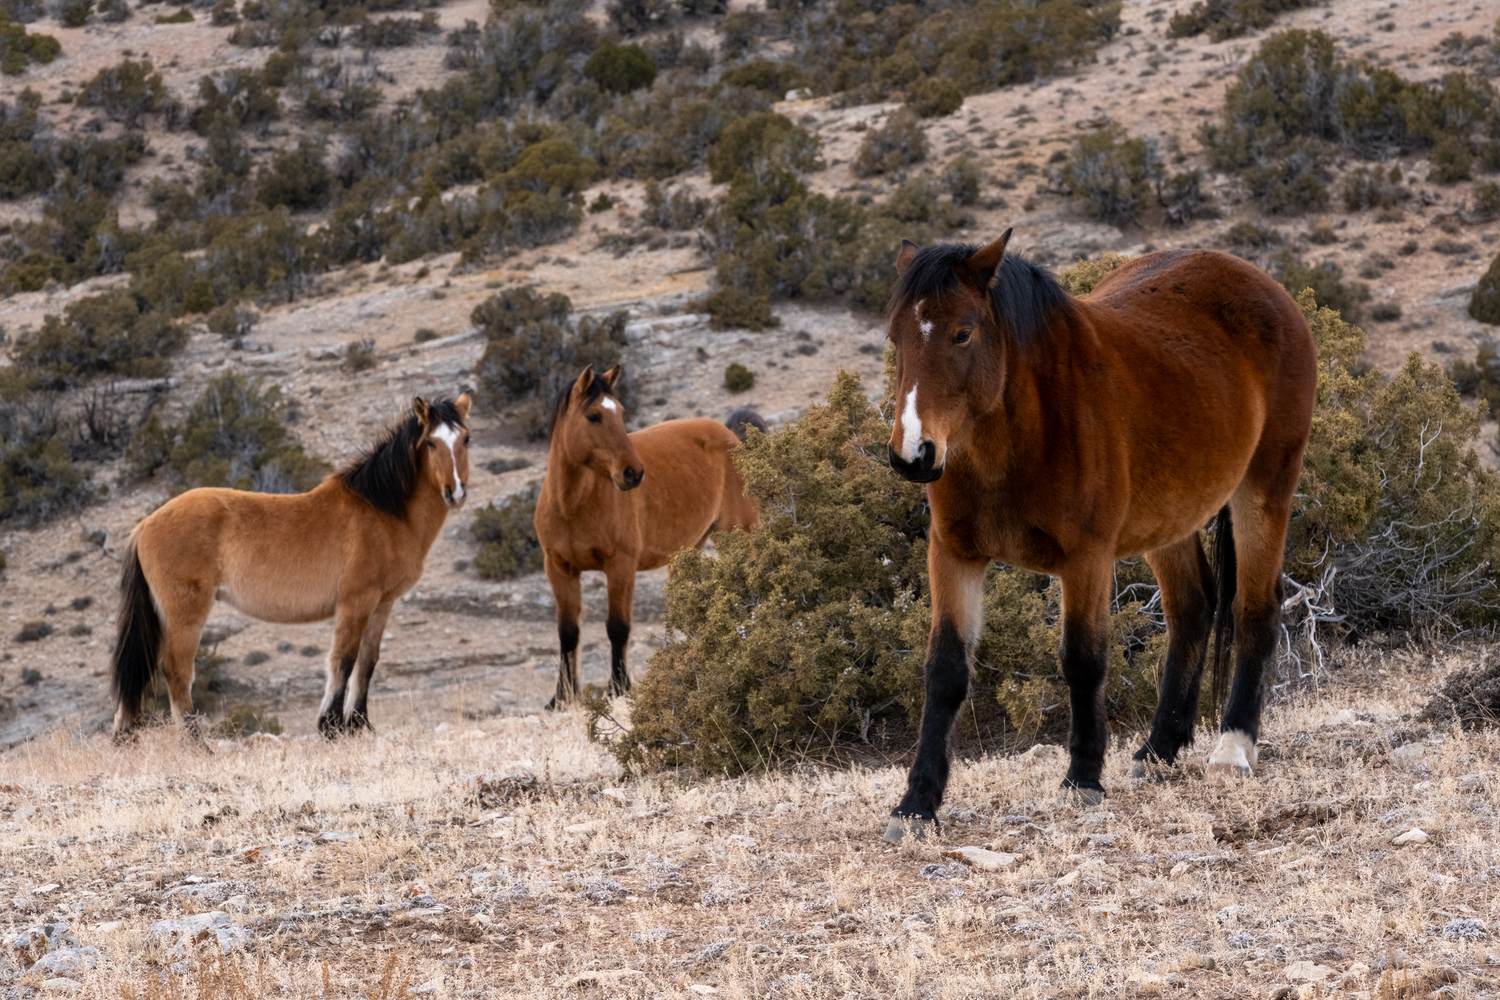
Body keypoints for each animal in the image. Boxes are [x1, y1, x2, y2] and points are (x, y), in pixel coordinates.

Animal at [111, 391, 473, 741]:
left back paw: (125, 738)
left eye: (466, 439)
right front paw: (332, 727)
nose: (455, 492)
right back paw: (197, 745)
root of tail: (145, 526)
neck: (383, 511)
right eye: (431, 443)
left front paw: (359, 726)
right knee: (176, 671)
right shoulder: (356, 601)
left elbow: (367, 662)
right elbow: (343, 660)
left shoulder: (382, 604)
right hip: (185, 614)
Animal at [534, 364, 759, 708]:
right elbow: (568, 632)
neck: (573, 506)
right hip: (690, 549)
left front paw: (619, 688)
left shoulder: (621, 565)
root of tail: (730, 435)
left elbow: (618, 627)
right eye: (594, 416)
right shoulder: (559, 568)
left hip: (738, 534)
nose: (633, 473)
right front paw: (560, 698)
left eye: (621, 412)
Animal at [881, 230, 1316, 843]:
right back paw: (1158, 751)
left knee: (1255, 607)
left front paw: (1082, 780)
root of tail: (1267, 288)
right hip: (1170, 518)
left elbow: (1083, 658)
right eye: (895, 337)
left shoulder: (1085, 558)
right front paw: (917, 805)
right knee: (1193, 608)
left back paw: (1233, 748)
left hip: (1264, 489)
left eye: (962, 332)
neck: (1019, 438)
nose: (913, 455)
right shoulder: (954, 555)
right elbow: (945, 671)